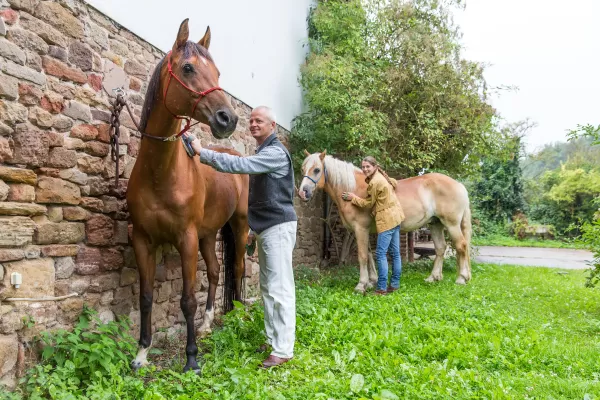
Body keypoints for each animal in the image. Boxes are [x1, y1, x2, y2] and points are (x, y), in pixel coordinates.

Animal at [126, 20, 248, 374]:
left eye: (218, 72)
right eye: (188, 67)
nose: (228, 119)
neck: (161, 173)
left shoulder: (187, 238)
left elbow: (187, 299)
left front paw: (191, 358)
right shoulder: (142, 240)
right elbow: (146, 297)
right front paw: (141, 353)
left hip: (239, 227)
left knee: (237, 268)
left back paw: (236, 316)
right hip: (208, 234)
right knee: (218, 270)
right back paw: (208, 324)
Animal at [298, 152, 472, 292]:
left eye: (317, 170)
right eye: (302, 169)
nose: (302, 192)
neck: (354, 188)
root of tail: (459, 185)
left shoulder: (360, 229)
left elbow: (362, 256)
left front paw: (361, 285)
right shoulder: (363, 231)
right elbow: (369, 255)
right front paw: (371, 281)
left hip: (451, 224)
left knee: (461, 246)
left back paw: (461, 278)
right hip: (435, 224)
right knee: (441, 248)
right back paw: (433, 277)